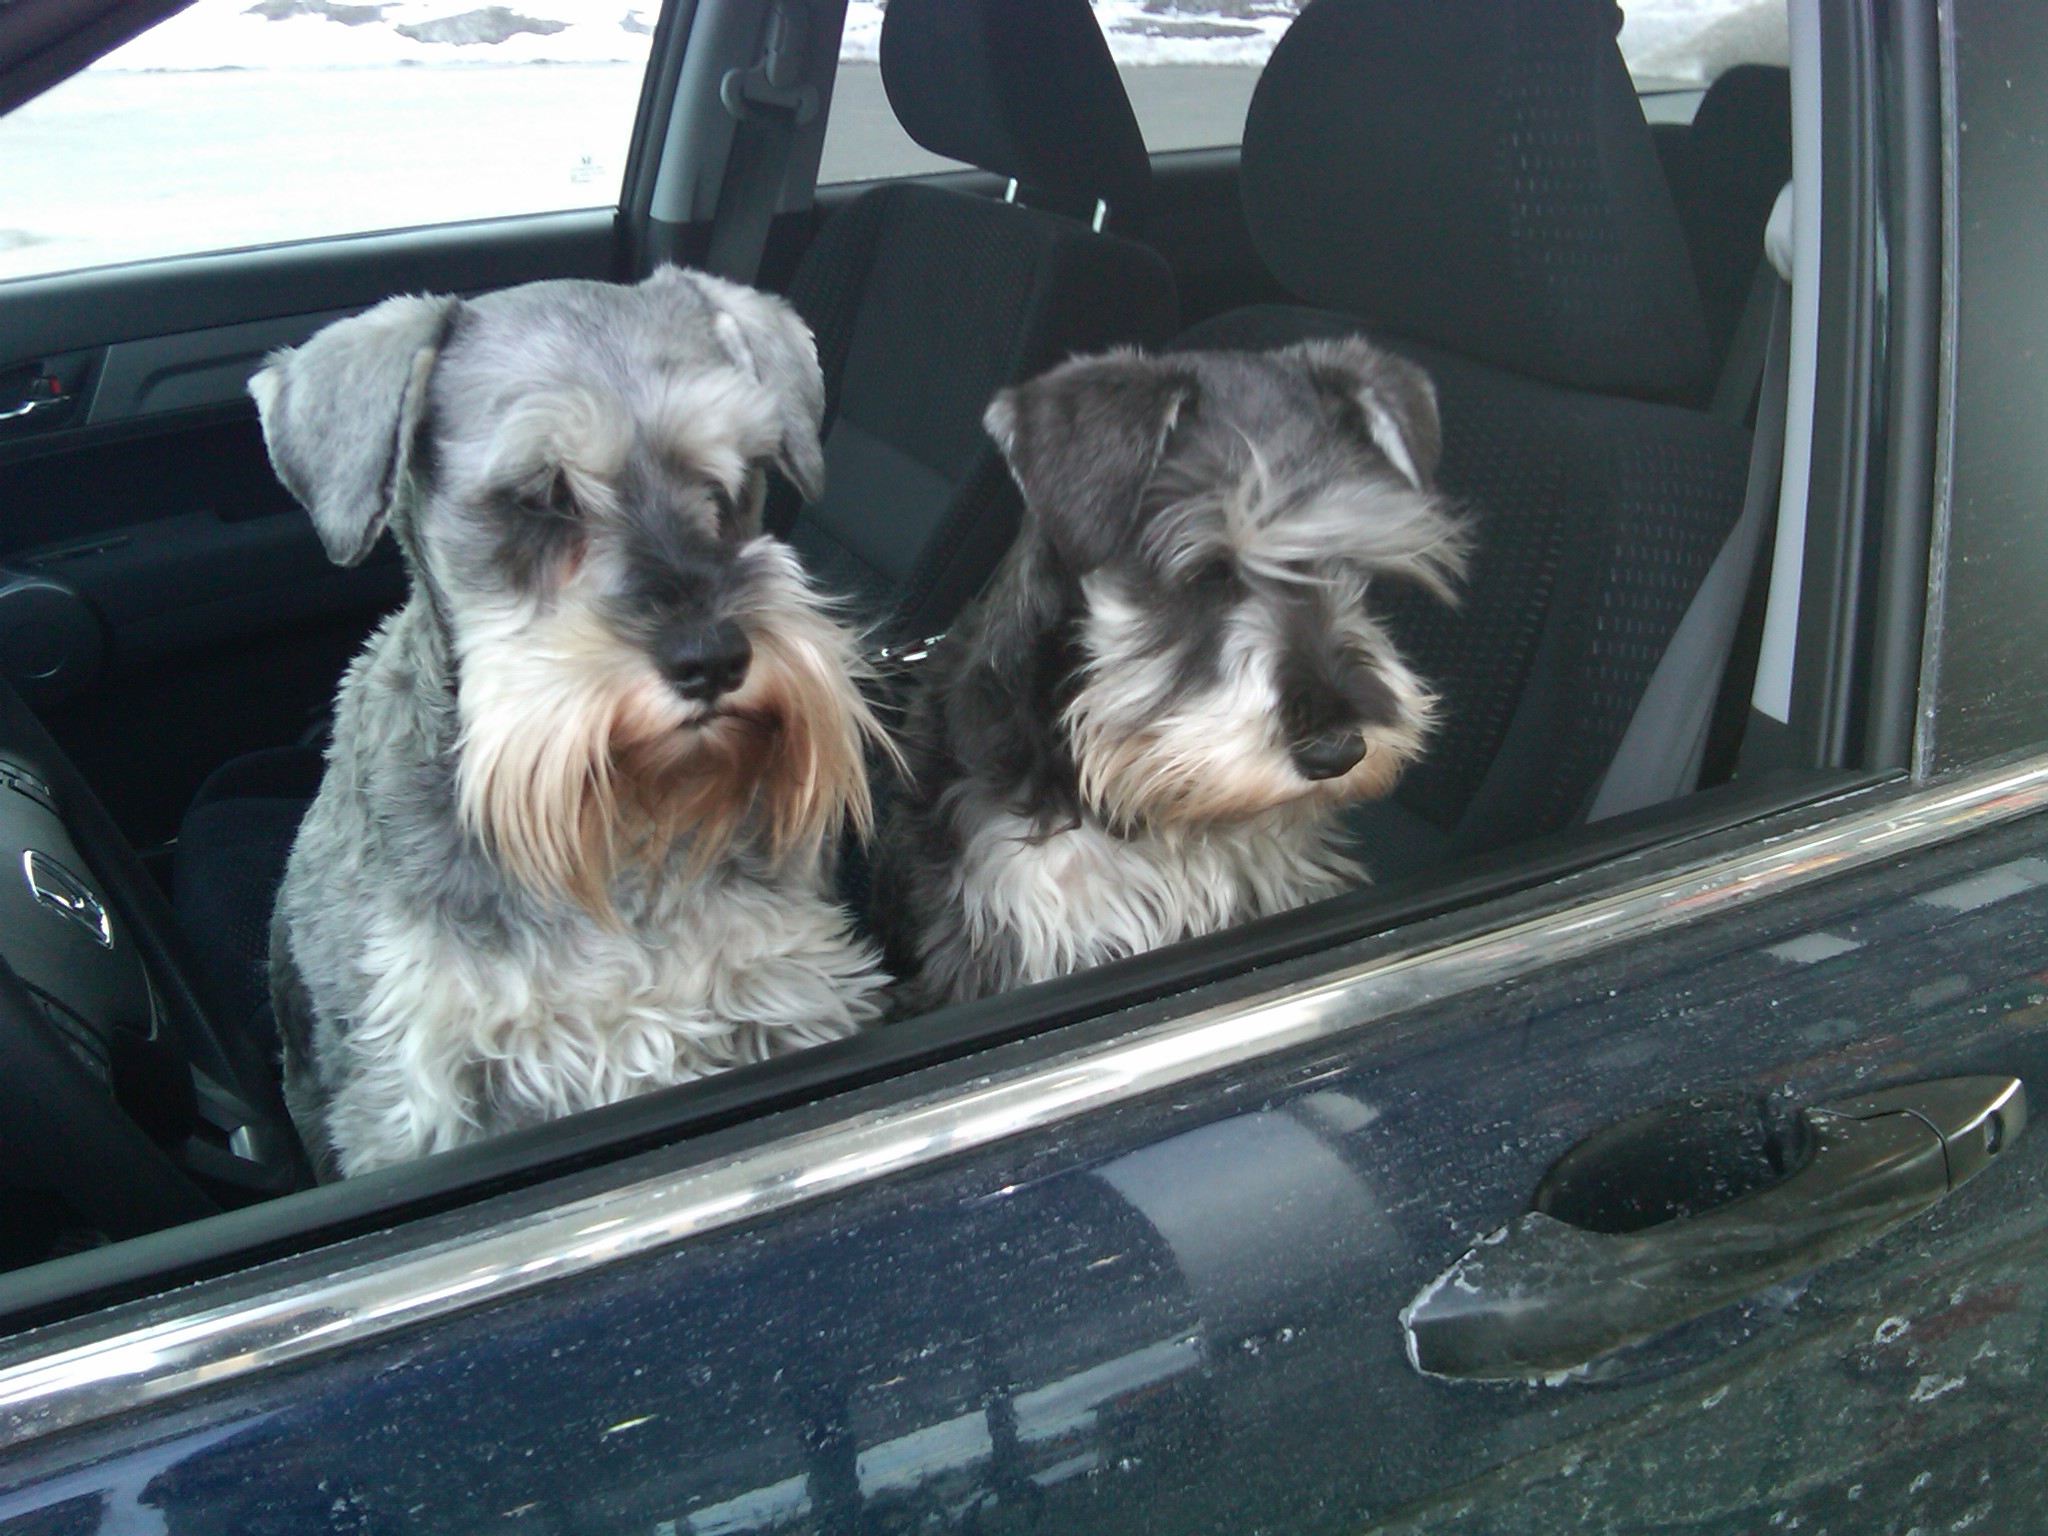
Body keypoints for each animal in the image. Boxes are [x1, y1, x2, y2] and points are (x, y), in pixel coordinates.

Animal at [251, 268, 892, 1179]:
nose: (711, 659)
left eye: (729, 480)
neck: (623, 828)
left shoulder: (787, 993)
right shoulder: (420, 1094)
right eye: (541, 497)